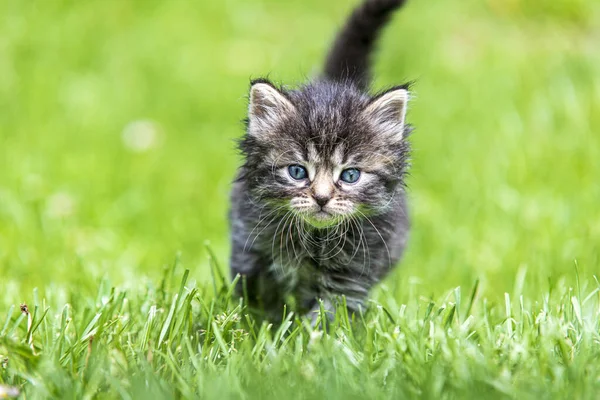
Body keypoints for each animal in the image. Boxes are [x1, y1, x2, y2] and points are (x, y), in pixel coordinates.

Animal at [230, 0, 412, 320]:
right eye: (297, 172)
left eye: (350, 175)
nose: (322, 198)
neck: (314, 239)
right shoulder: (248, 251)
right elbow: (259, 305)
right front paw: (258, 328)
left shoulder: (351, 276)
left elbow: (328, 319)